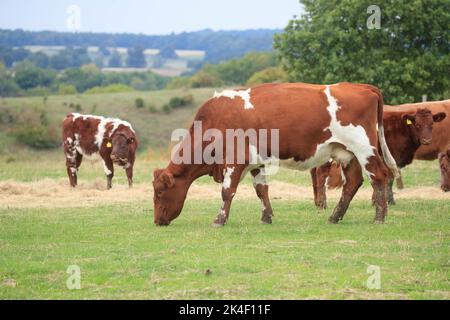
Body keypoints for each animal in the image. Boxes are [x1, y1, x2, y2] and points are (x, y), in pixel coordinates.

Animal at [153, 84, 400, 226]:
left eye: (159, 192)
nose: (156, 220)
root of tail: (362, 86)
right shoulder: (256, 162)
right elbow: (261, 190)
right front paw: (266, 217)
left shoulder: (234, 160)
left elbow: (227, 191)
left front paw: (219, 219)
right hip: (347, 153)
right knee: (353, 184)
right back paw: (335, 217)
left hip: (364, 149)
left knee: (379, 176)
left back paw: (379, 217)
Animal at [312, 106, 446, 209]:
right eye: (417, 124)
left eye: (432, 124)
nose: (427, 140)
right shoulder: (392, 157)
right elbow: (389, 179)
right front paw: (389, 201)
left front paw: (376, 200)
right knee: (321, 173)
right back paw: (322, 203)